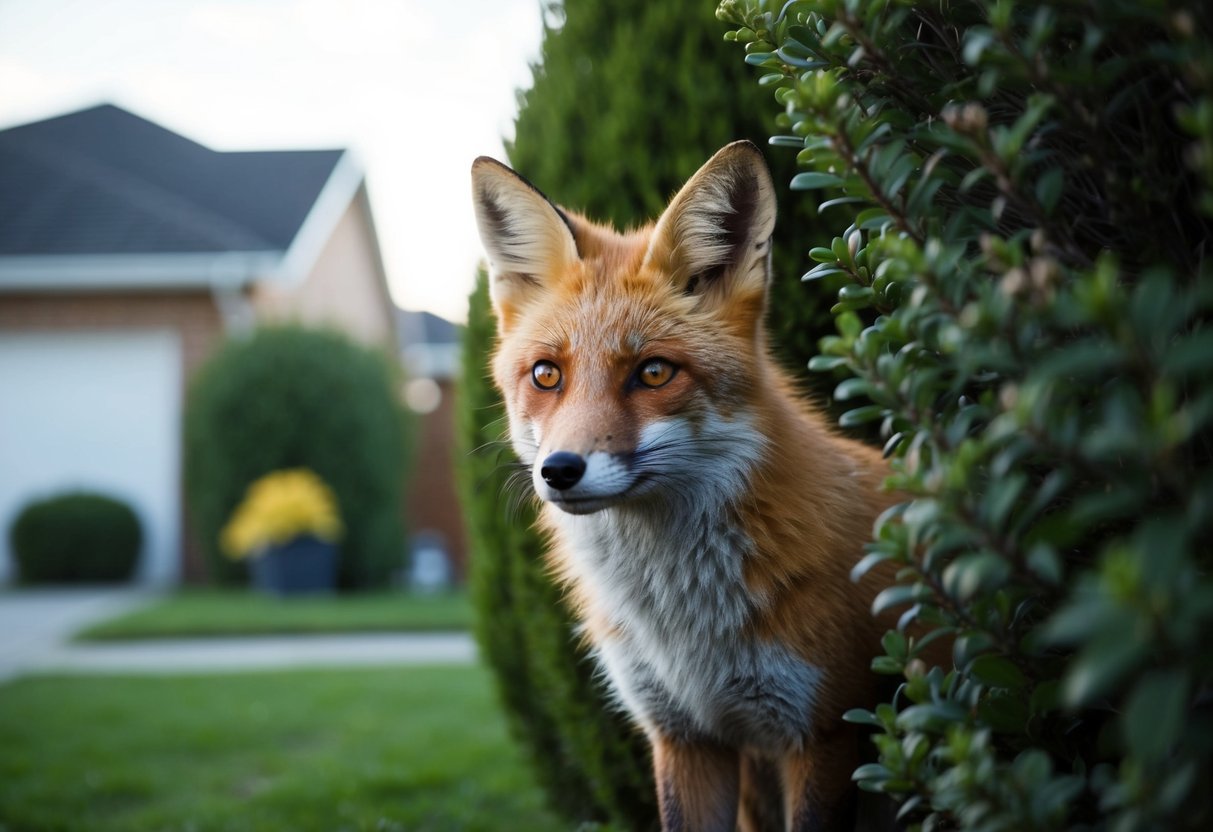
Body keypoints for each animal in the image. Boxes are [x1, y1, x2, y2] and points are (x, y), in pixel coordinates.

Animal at [471, 141, 929, 832]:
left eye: (654, 372)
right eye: (546, 375)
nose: (559, 470)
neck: (684, 627)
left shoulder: (825, 731)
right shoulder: (684, 736)